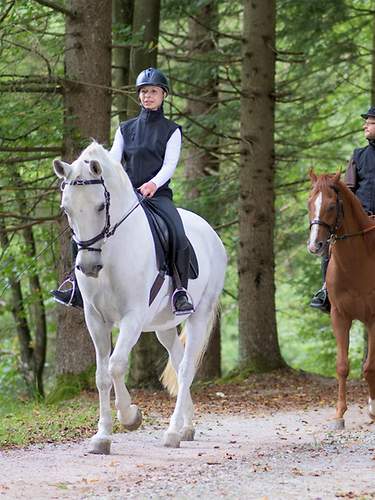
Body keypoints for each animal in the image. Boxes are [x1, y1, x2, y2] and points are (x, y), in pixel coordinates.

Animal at [53, 143, 228, 456]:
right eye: (66, 209)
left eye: (101, 206)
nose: (88, 267)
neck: (111, 252)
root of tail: (210, 232)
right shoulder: (95, 319)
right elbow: (101, 375)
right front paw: (102, 437)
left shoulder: (131, 318)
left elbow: (117, 365)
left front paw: (131, 416)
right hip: (164, 326)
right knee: (178, 361)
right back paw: (187, 427)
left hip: (199, 315)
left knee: (186, 368)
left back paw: (173, 432)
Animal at [310, 171, 375, 426]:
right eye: (310, 203)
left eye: (330, 206)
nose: (315, 245)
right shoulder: (340, 316)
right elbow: (342, 366)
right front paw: (339, 414)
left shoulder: (374, 318)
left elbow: (369, 366)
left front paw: (373, 409)